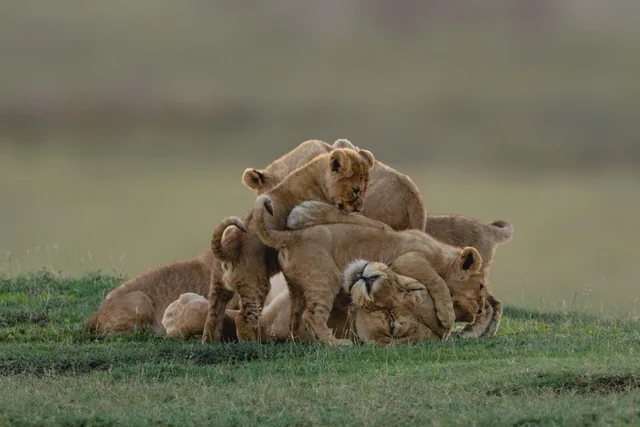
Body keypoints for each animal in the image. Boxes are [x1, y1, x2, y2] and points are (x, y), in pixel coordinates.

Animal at [202, 148, 377, 343]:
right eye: (356, 190)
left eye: (364, 189)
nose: (359, 208)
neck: (317, 177)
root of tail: (229, 249)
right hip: (255, 286)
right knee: (243, 319)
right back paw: (254, 343)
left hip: (218, 289)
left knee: (212, 317)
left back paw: (209, 342)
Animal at [253, 196, 485, 346]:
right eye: (481, 287)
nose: (480, 311)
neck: (443, 256)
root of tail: (290, 237)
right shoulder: (409, 259)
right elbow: (438, 282)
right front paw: (447, 315)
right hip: (324, 278)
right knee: (312, 315)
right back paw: (337, 343)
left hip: (296, 288)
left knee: (295, 315)